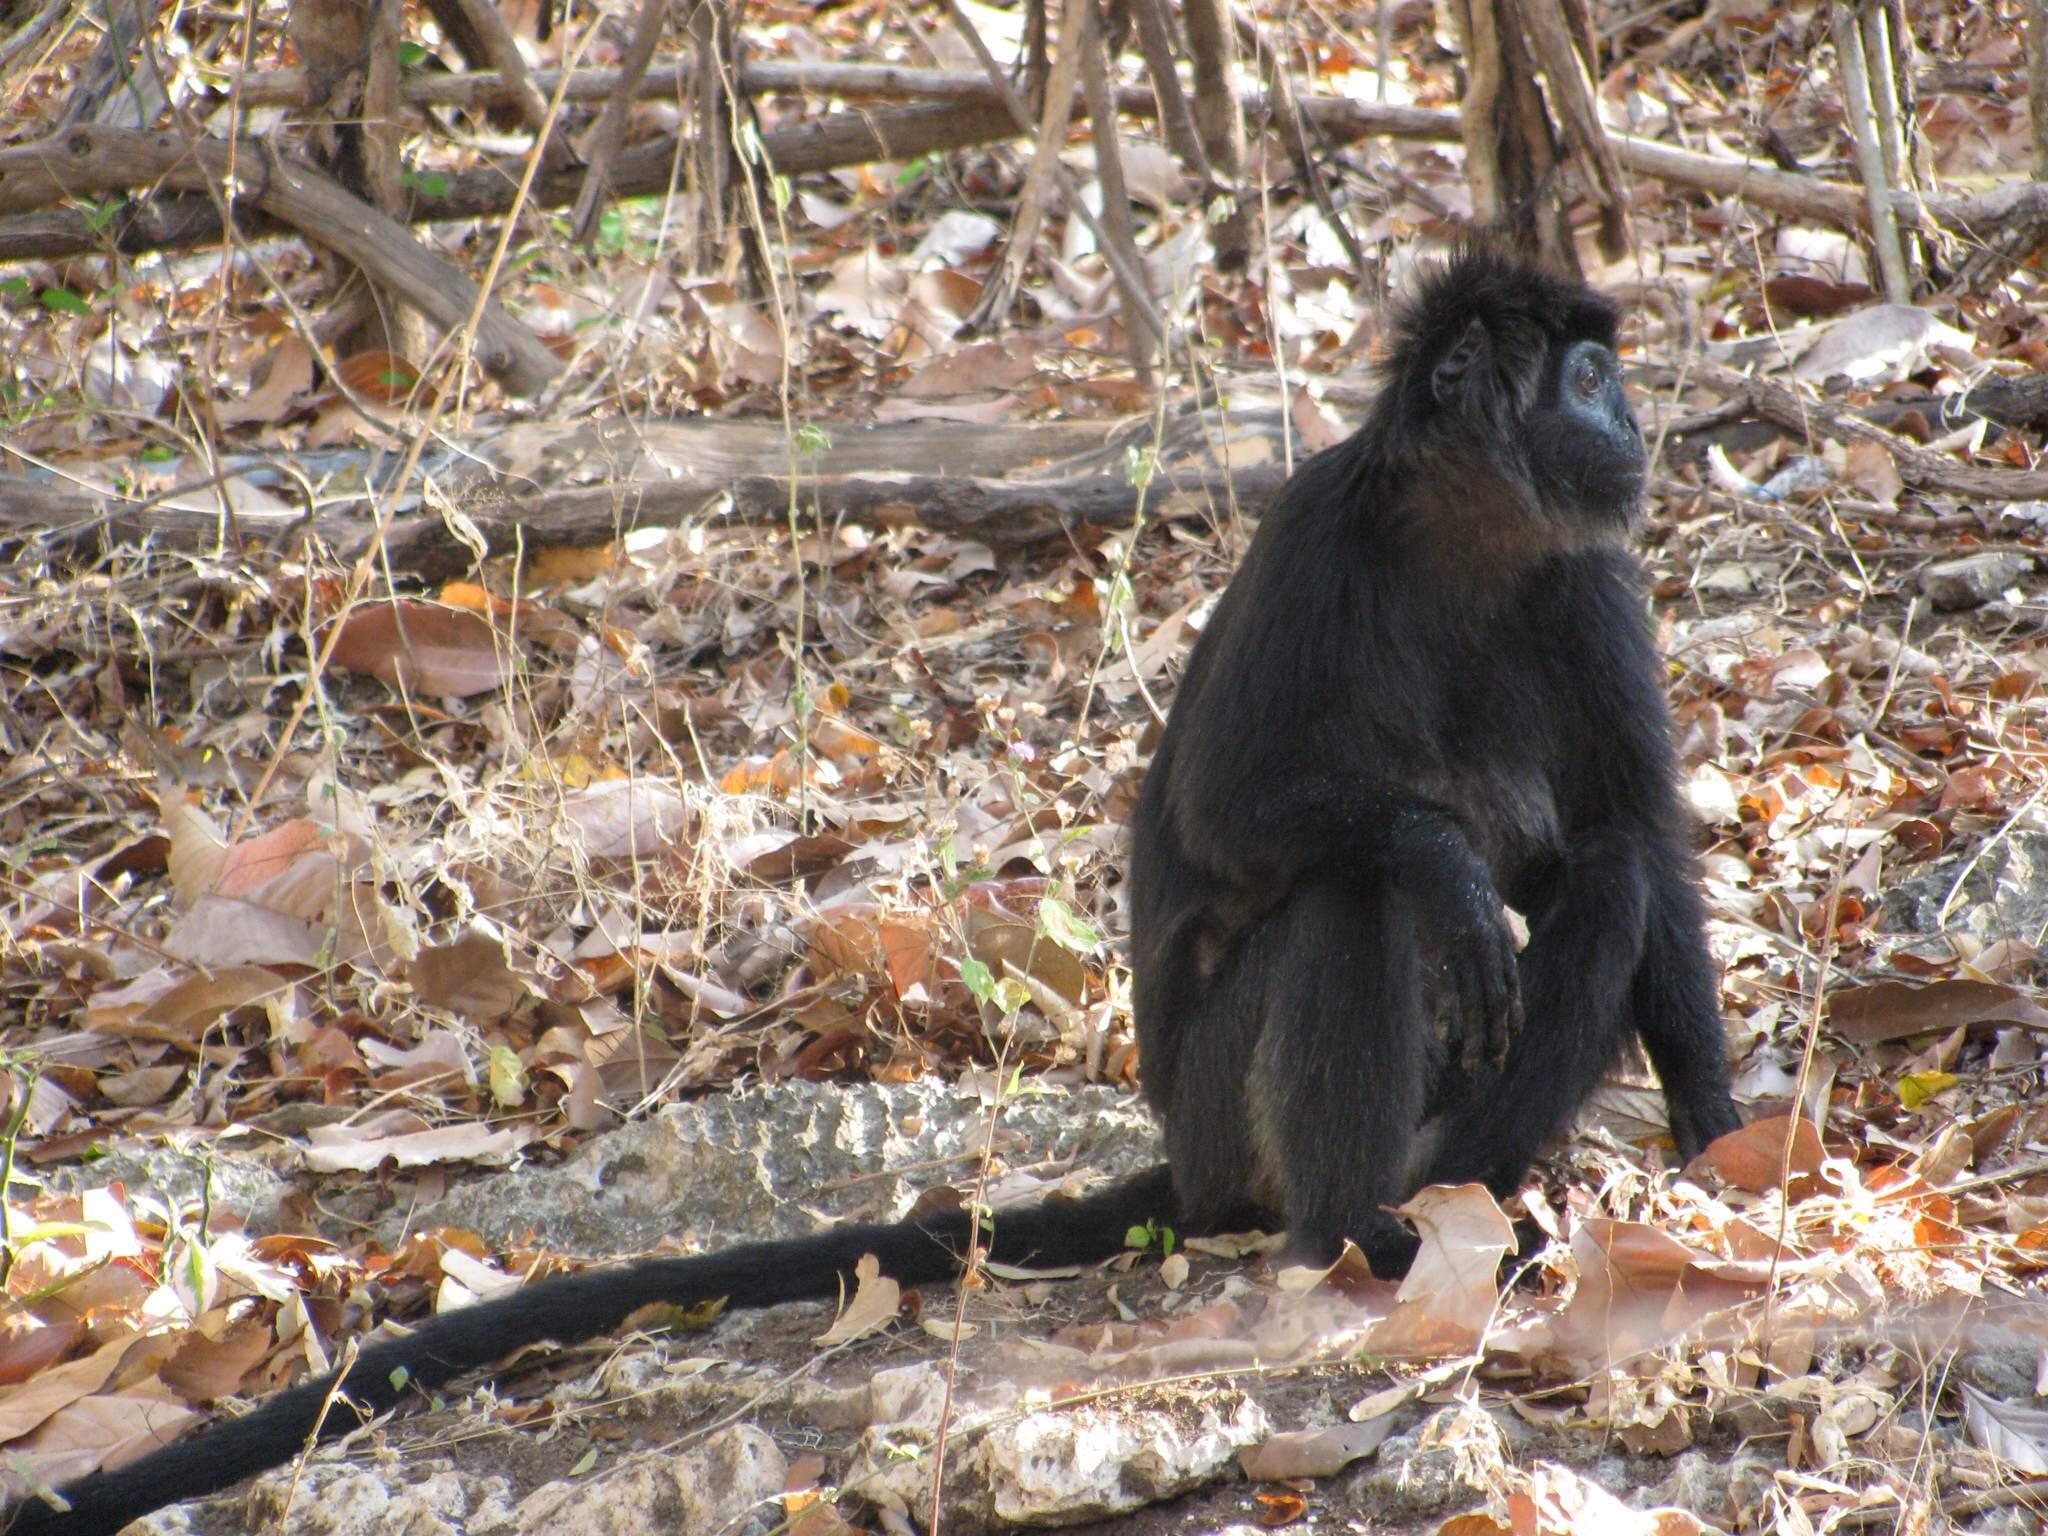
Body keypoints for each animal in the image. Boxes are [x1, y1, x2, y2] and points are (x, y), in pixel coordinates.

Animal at [1130, 243, 1736, 1277]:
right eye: (1588, 381)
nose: (1630, 425)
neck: (1456, 547)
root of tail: (1186, 1170)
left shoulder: (1585, 579)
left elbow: (1638, 833)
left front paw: (1722, 1129)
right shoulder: (1309, 534)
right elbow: (1221, 806)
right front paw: (1445, 864)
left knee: (1611, 877)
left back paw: (1461, 1202)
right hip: (1217, 1127)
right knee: (1351, 888)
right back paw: (1361, 1234)